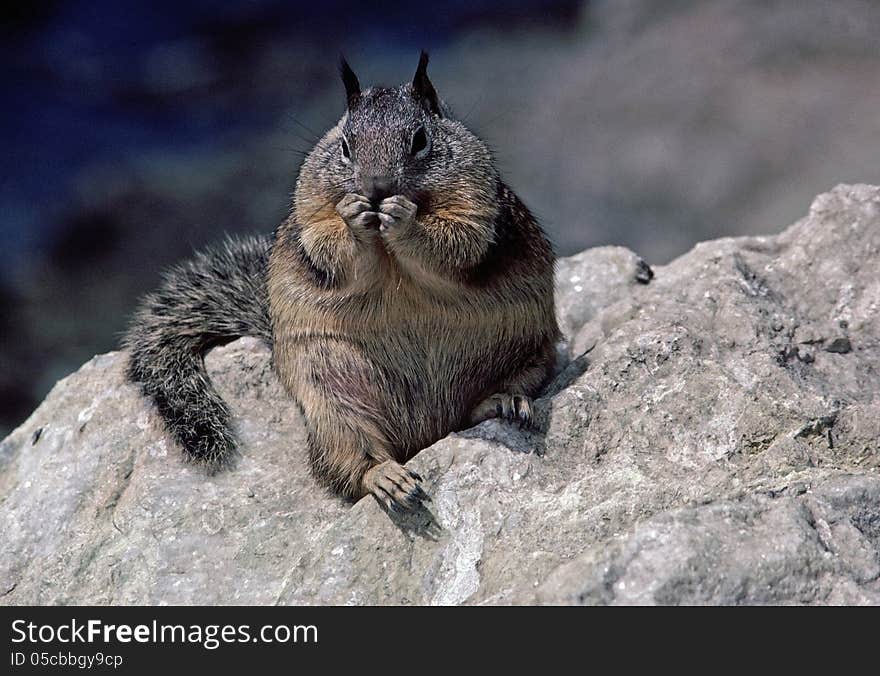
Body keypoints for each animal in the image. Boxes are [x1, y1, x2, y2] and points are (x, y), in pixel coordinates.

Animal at [125, 54, 556, 512]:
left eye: (420, 139)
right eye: (346, 146)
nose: (376, 188)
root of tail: (427, 431)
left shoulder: (476, 204)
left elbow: (455, 241)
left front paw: (404, 218)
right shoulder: (313, 212)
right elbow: (332, 248)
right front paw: (354, 216)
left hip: (530, 357)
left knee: (478, 408)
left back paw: (502, 402)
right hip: (329, 403)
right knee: (347, 462)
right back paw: (387, 477)